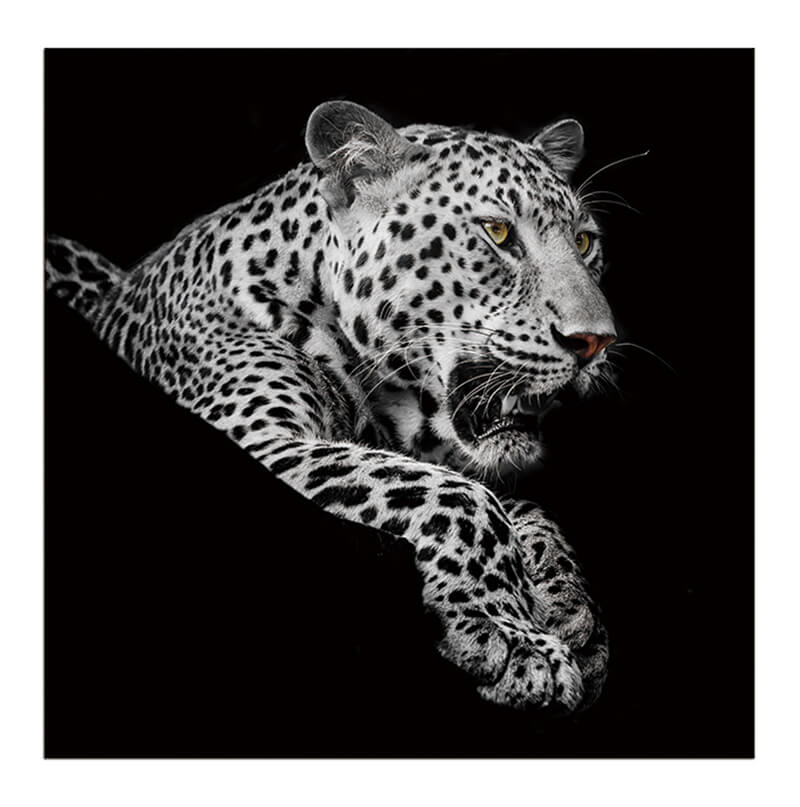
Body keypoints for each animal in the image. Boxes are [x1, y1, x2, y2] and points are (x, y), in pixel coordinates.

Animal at [46, 100, 617, 713]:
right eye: (498, 232)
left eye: (585, 242)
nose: (596, 342)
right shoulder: (258, 439)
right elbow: (461, 495)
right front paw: (515, 639)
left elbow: (522, 506)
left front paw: (569, 607)